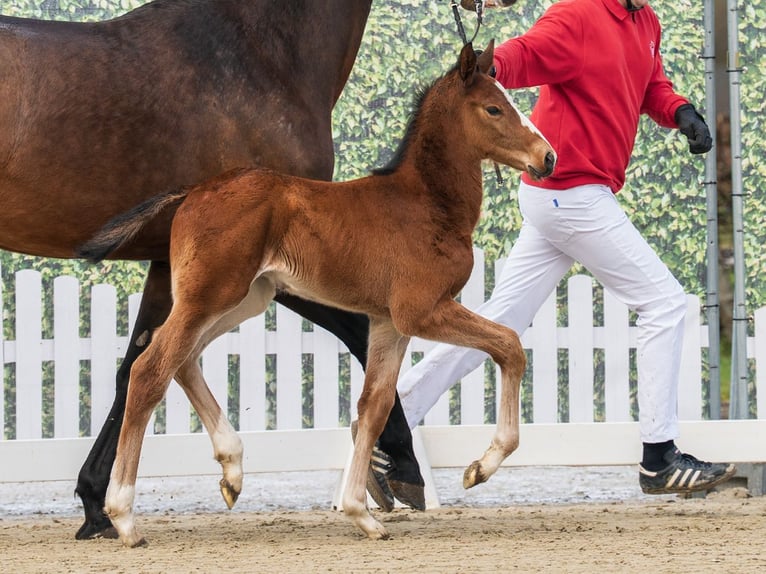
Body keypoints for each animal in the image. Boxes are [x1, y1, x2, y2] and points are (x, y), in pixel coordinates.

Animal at [78, 40, 555, 544]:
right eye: (494, 108)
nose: (548, 158)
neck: (426, 204)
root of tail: (192, 193)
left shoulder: (389, 322)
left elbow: (374, 404)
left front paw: (361, 513)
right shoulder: (422, 310)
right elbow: (509, 345)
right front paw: (480, 467)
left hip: (245, 298)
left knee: (181, 360)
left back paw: (232, 471)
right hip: (209, 297)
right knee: (150, 369)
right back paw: (124, 516)